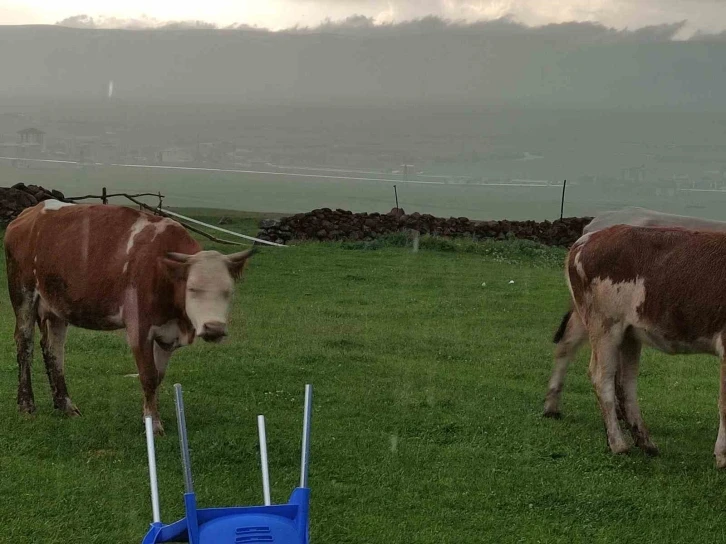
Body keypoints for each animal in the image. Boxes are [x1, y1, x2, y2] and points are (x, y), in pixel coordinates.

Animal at [4, 199, 255, 434]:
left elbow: (158, 376)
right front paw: (154, 424)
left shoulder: (167, 334)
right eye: (192, 289)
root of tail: (30, 213)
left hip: (56, 308)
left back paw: (65, 405)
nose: (214, 328)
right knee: (25, 345)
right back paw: (26, 405)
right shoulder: (139, 329)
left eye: (229, 291)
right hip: (23, 295)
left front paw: (149, 415)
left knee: (54, 351)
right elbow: (148, 375)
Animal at [556, 222, 726, 468]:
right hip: (604, 325)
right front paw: (722, 456)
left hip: (629, 334)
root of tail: (589, 237)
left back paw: (645, 442)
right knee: (602, 378)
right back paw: (618, 444)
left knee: (626, 384)